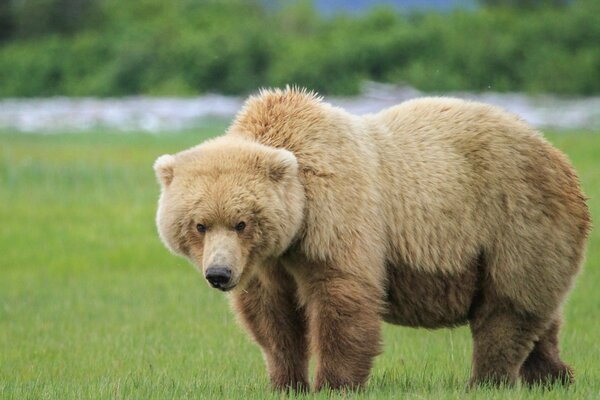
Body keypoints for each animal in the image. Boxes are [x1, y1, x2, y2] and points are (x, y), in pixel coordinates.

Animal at [155, 86, 592, 390]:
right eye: (200, 224)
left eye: (242, 222)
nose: (219, 274)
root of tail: (556, 153)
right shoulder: (268, 262)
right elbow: (272, 318)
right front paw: (285, 382)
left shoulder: (335, 218)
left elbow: (342, 301)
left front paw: (334, 384)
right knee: (538, 316)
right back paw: (553, 376)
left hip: (514, 220)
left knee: (507, 310)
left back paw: (487, 381)